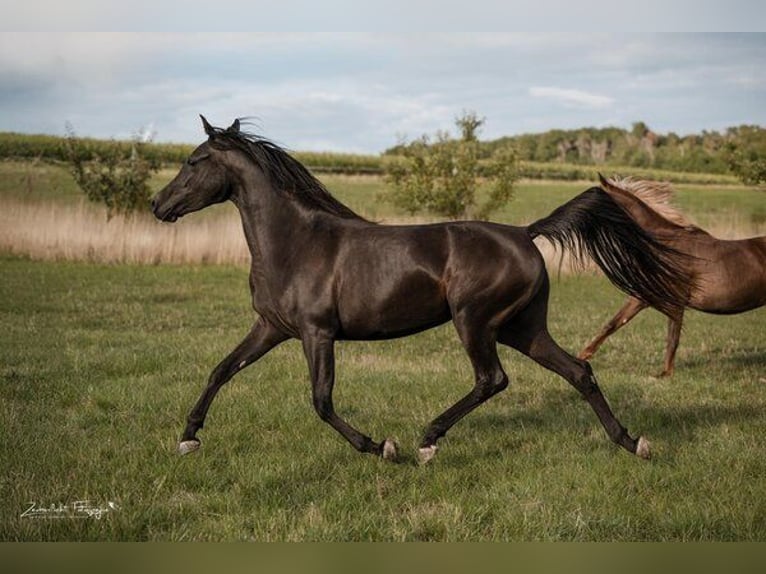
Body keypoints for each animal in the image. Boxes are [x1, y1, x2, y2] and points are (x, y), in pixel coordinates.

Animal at [151, 116, 690, 463]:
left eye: (194, 160)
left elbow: (322, 401)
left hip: (475, 321)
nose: (158, 204)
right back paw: (632, 443)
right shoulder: (271, 327)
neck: (295, 243)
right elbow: (221, 370)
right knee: (579, 371)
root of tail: (525, 233)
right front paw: (188, 438)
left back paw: (428, 441)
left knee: (492, 379)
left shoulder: (316, 333)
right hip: (522, 327)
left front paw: (382, 448)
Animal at [578, 176, 766, 377]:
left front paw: (665, 374)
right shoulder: (644, 296)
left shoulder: (676, 300)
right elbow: (613, 323)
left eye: (593, 200)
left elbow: (672, 337)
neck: (665, 248)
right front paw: (581, 357)